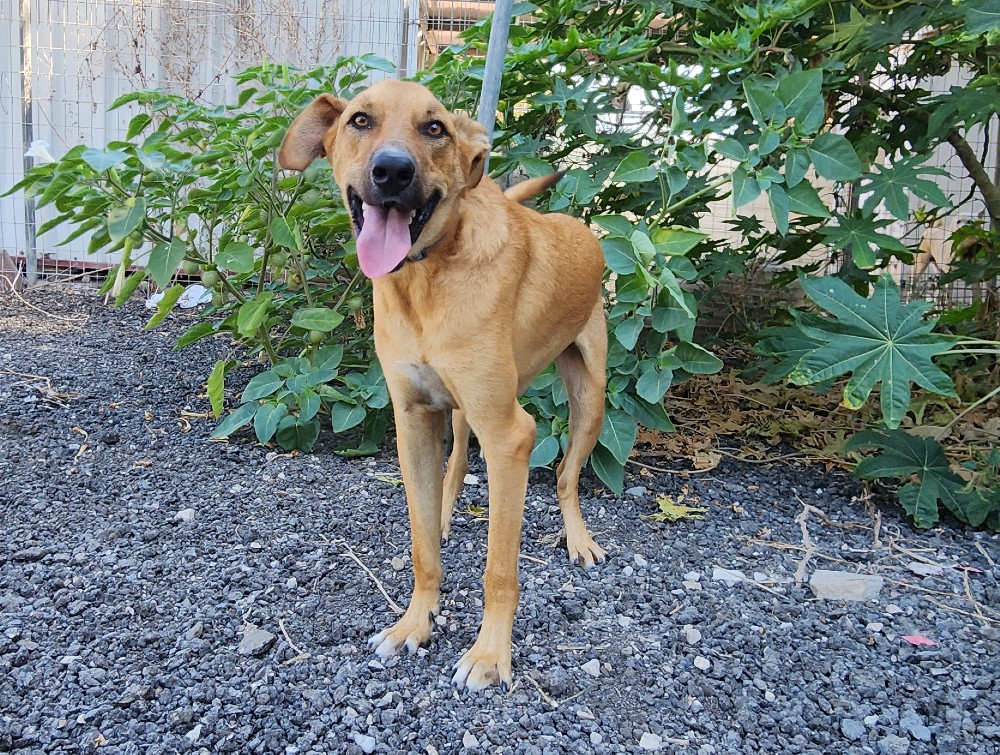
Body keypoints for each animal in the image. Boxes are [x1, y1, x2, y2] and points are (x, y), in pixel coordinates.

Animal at [279, 80, 607, 692]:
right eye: (360, 120)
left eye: (435, 128)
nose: (391, 171)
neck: (424, 279)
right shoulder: (413, 421)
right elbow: (422, 546)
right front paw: (416, 622)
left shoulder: (510, 436)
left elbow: (500, 569)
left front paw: (490, 655)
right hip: (456, 411)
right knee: (456, 462)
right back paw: (449, 511)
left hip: (589, 400)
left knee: (566, 476)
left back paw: (578, 539)